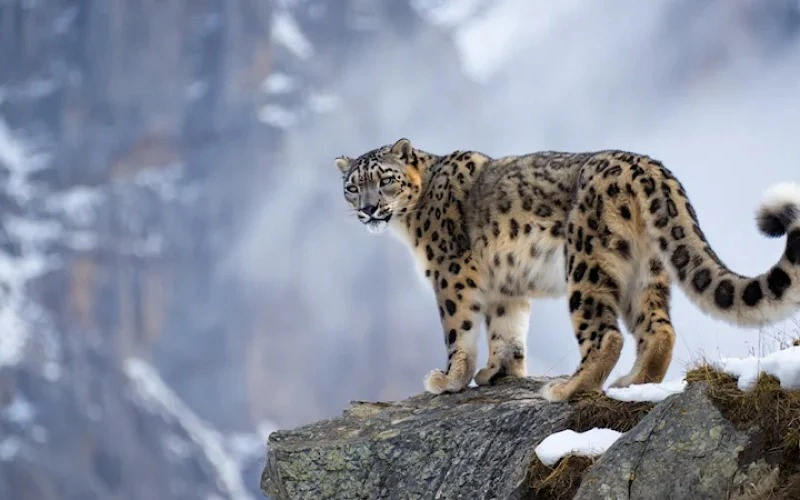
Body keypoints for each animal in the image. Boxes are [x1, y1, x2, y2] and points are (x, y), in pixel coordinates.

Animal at [334, 138, 800, 401]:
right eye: (353, 187)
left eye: (386, 180)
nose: (368, 209)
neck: (408, 227)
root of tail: (647, 166)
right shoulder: (505, 287)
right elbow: (507, 329)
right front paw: (498, 372)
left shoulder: (451, 274)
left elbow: (458, 331)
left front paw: (449, 380)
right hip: (645, 269)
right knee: (658, 328)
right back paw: (633, 383)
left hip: (586, 264)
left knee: (606, 335)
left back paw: (566, 389)